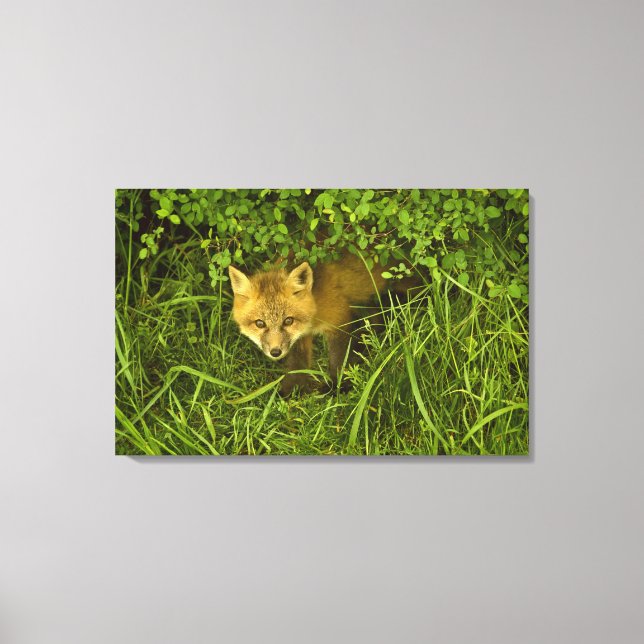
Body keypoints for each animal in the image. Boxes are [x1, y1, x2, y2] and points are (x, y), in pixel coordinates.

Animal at [228, 254, 415, 396]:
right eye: (260, 323)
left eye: (288, 321)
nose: (275, 352)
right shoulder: (301, 336)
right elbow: (298, 363)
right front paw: (292, 391)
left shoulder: (339, 319)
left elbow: (338, 359)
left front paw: (338, 388)